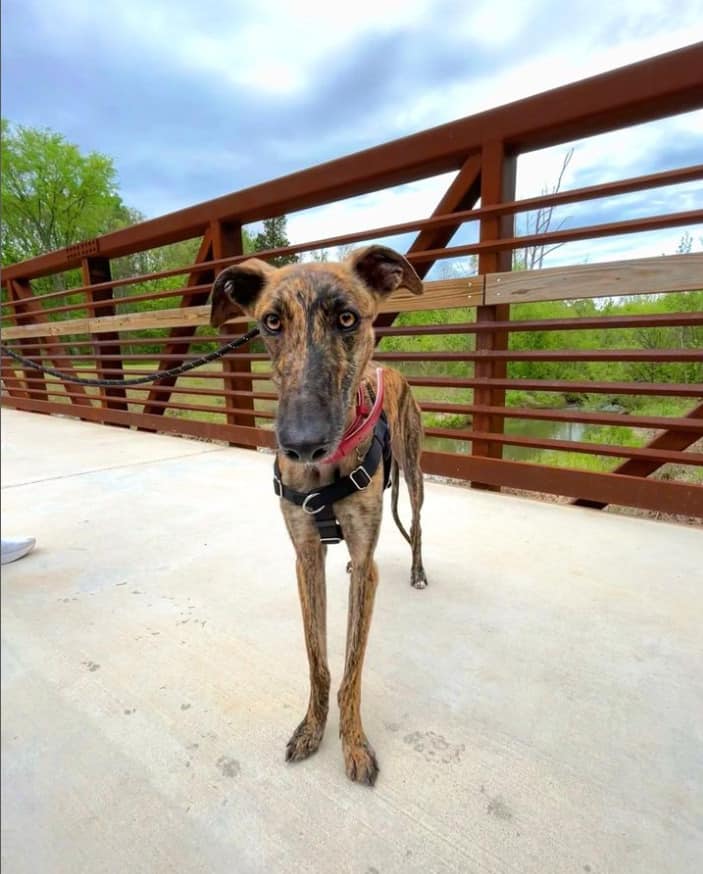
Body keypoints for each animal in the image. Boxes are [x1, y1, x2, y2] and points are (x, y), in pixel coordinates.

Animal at [209, 244, 428, 784]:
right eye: (270, 323)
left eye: (348, 318)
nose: (302, 444)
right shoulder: (306, 555)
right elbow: (318, 658)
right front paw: (312, 727)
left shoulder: (366, 565)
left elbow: (351, 666)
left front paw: (353, 744)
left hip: (413, 472)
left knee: (415, 523)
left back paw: (417, 571)